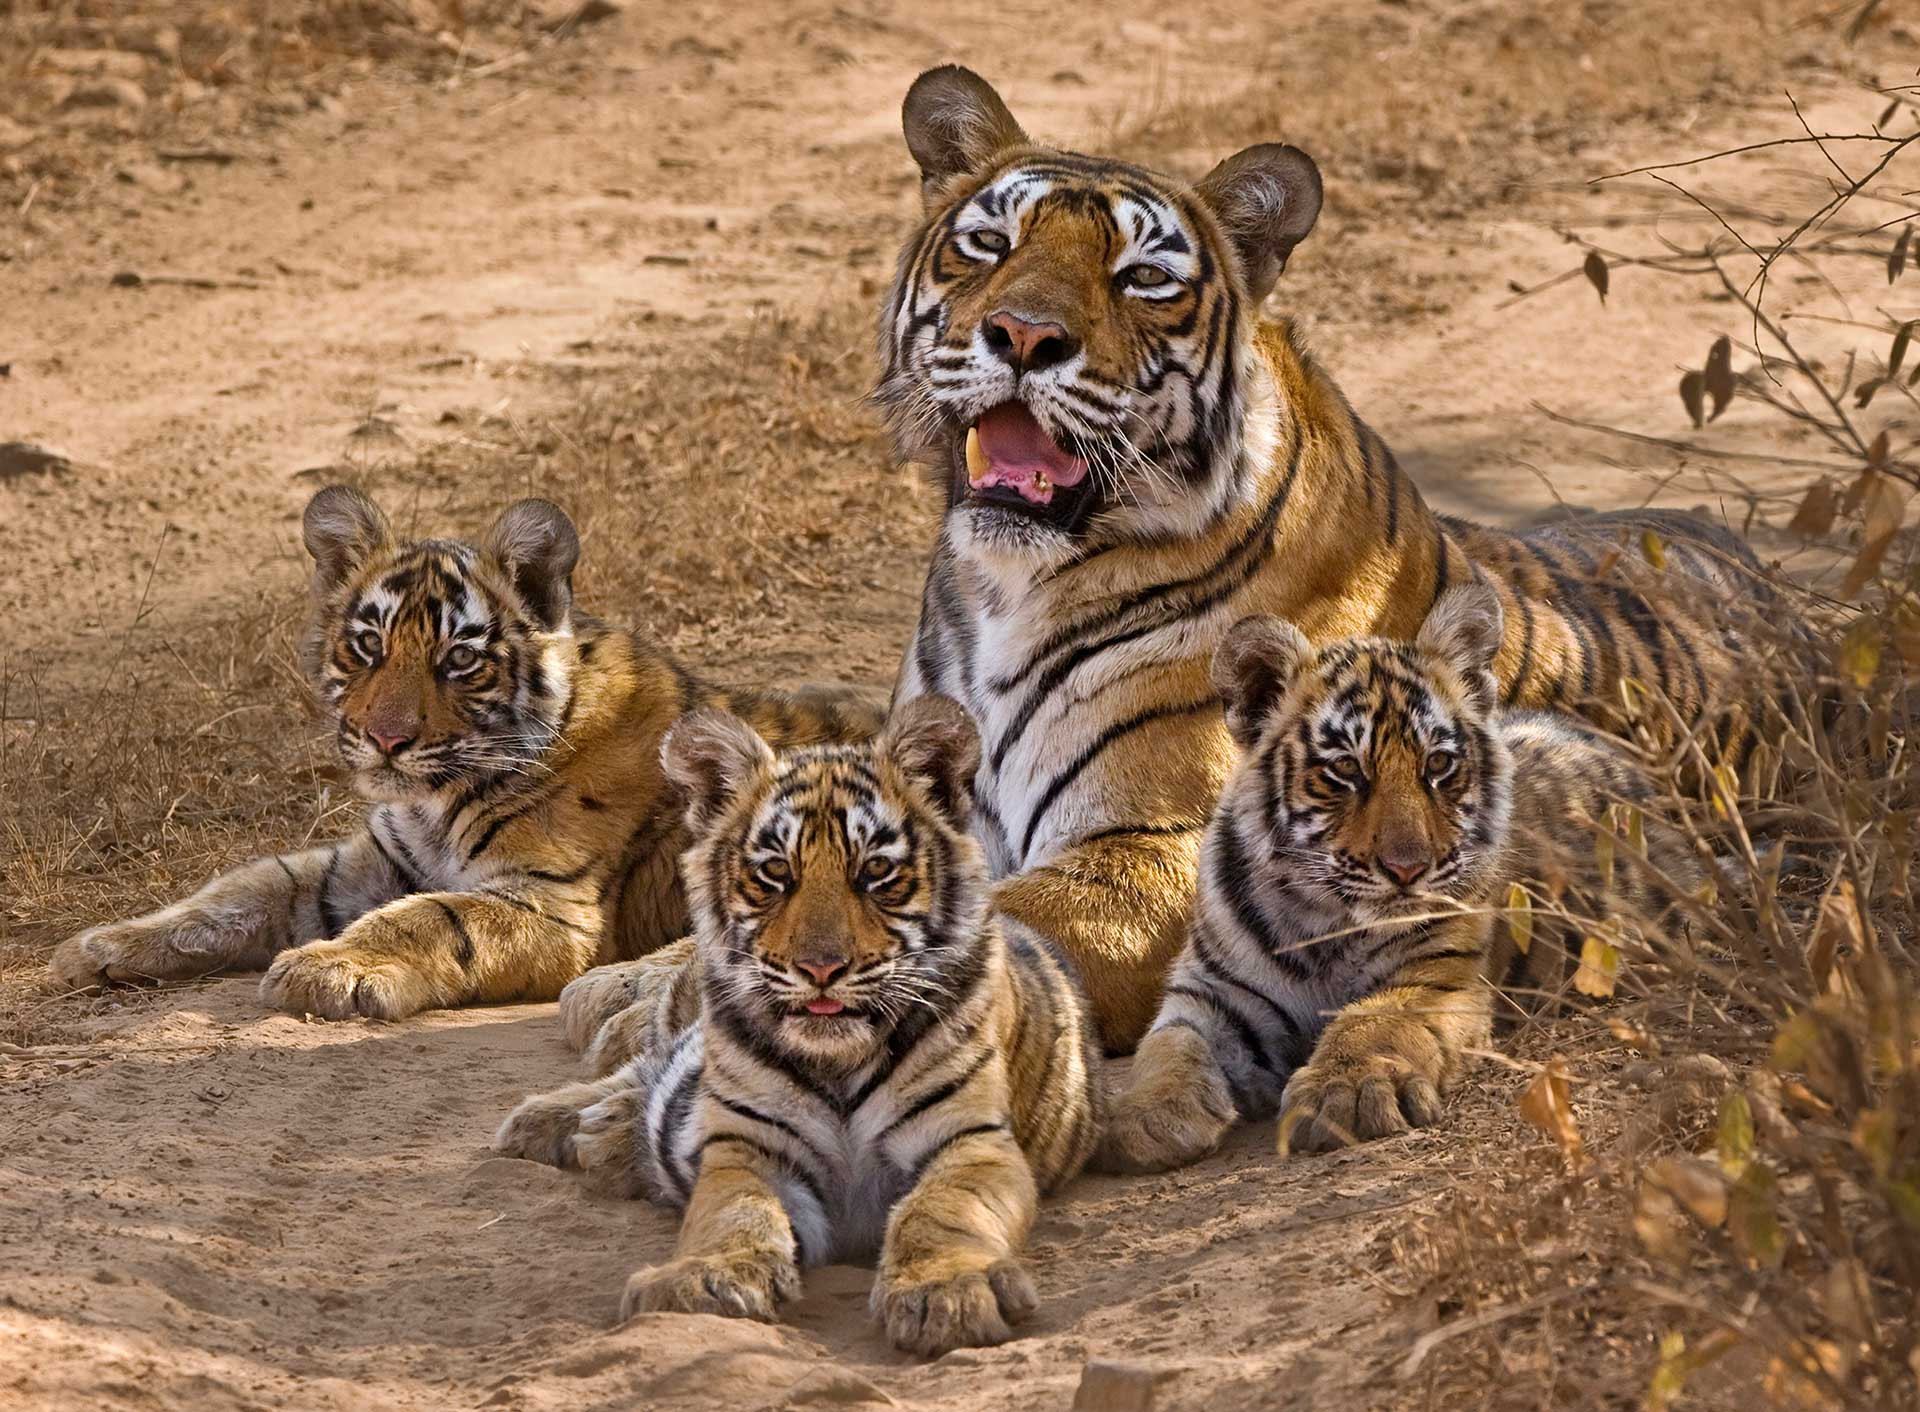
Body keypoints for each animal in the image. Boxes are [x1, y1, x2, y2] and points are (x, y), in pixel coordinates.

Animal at [48, 486, 883, 1020]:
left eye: (458, 660)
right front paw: (100, 945)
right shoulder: (364, 864)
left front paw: (329, 968)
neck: (436, 799)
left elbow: (429, 920)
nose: (386, 739)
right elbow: (239, 891)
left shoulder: (548, 904)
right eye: (368, 647)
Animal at [492, 696, 1103, 1357]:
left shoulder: (970, 1141)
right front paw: (702, 1280)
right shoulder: (750, 1149)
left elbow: (942, 1211)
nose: (821, 969)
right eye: (775, 873)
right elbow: (733, 1213)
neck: (840, 1062)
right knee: (642, 1066)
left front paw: (947, 1293)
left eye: (876, 871)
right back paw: (559, 1124)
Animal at [1098, 584, 1706, 1171]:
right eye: (1345, 769)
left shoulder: (1436, 973)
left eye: (1438, 764)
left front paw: (1346, 1094)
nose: (1407, 868)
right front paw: (1144, 1115)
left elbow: (1373, 1021)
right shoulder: (1213, 993)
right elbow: (1169, 1048)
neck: (1323, 922)